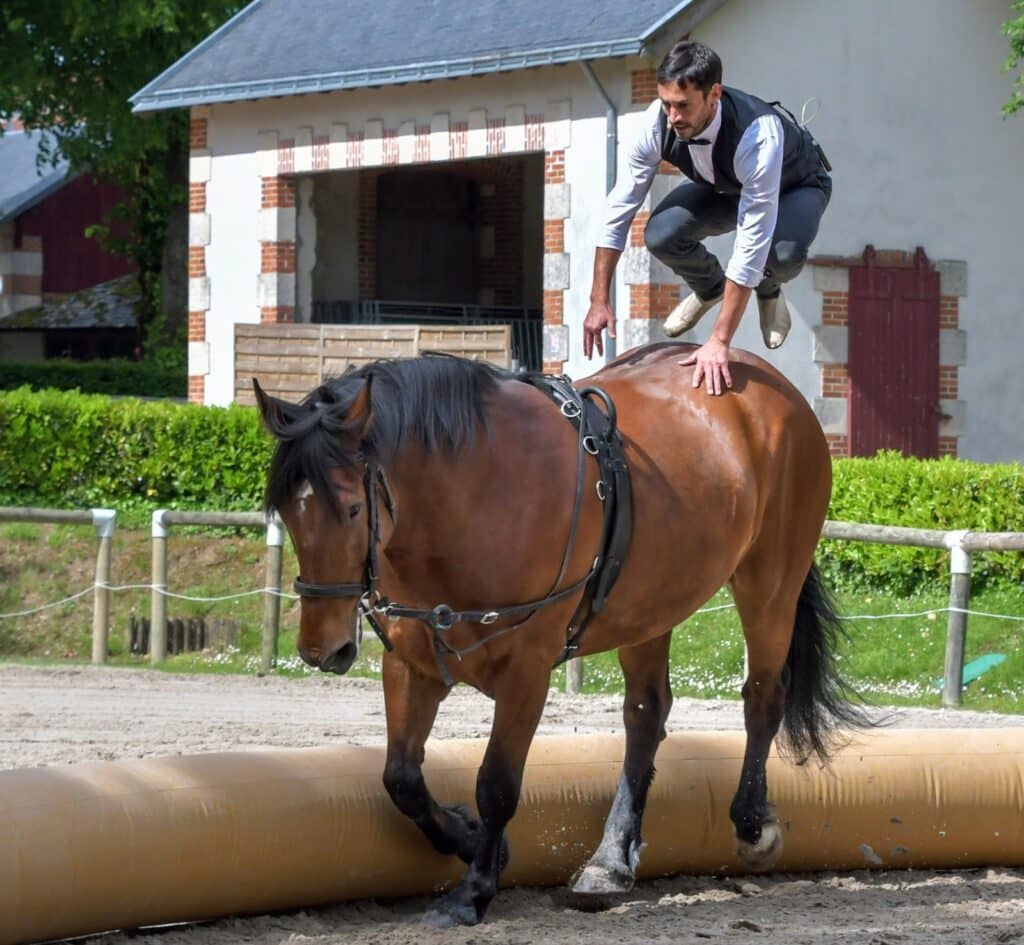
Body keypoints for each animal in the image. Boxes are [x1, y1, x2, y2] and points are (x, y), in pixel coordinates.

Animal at [253, 344, 864, 925]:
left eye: (353, 508)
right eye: (283, 508)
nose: (322, 649)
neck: (471, 496)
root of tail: (771, 383)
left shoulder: (526, 672)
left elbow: (496, 784)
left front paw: (473, 891)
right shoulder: (412, 664)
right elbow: (400, 778)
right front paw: (468, 838)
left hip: (769, 585)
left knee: (762, 698)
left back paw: (751, 824)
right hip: (649, 608)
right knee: (646, 716)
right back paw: (610, 860)